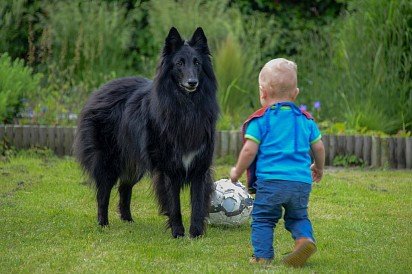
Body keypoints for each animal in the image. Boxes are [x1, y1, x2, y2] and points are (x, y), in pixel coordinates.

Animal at [73, 26, 219, 239]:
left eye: (197, 63)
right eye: (179, 63)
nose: (192, 82)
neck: (186, 108)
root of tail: (100, 90)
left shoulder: (200, 167)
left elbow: (198, 203)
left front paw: (196, 234)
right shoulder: (168, 169)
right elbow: (174, 205)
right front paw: (178, 233)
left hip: (134, 164)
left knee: (124, 188)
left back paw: (128, 220)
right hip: (108, 162)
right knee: (103, 192)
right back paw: (103, 224)